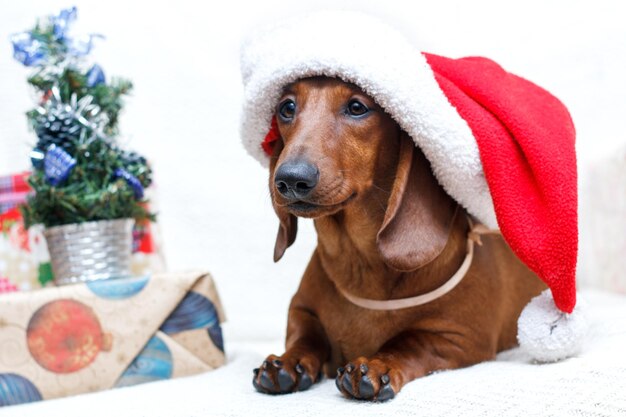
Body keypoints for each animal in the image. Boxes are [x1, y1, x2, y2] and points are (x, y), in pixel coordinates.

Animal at [251, 75, 544, 400]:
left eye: (357, 107)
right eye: (286, 108)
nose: (290, 179)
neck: (360, 264)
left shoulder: (462, 338)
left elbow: (411, 341)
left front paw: (376, 365)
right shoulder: (300, 310)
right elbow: (305, 336)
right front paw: (288, 362)